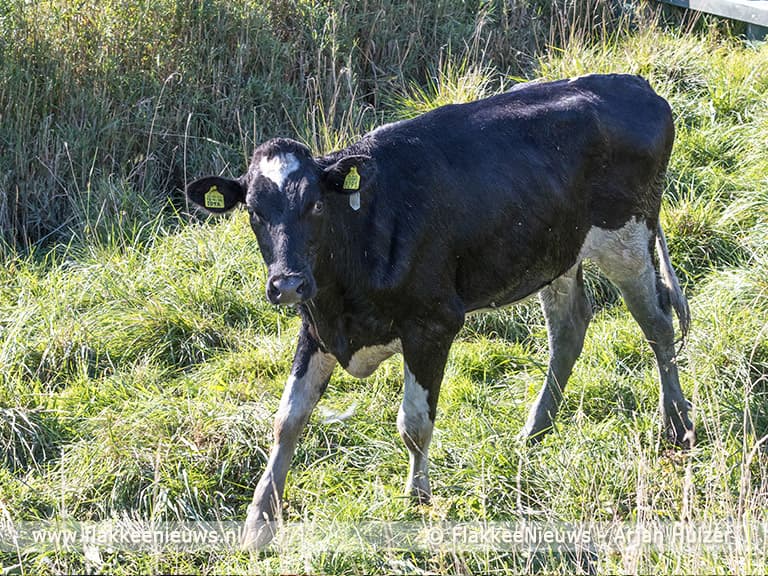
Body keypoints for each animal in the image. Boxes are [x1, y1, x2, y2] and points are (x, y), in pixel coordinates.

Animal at [186, 74, 694, 548]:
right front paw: (259, 519)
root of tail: (631, 82)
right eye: (254, 211)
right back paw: (535, 430)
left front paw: (418, 500)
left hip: (627, 236)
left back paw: (678, 424)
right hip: (556, 252)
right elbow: (287, 420)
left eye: (313, 203)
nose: (288, 283)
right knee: (569, 329)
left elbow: (413, 422)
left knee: (657, 324)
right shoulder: (317, 327)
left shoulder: (432, 324)